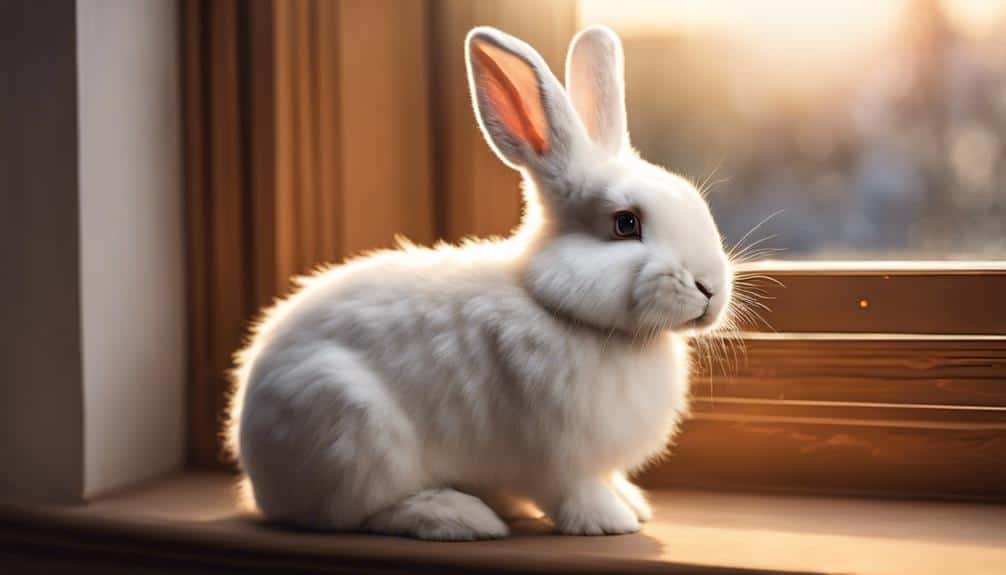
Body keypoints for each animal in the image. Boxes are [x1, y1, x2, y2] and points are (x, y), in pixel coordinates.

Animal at [226, 25, 732, 541]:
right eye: (625, 224)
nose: (710, 288)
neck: (564, 311)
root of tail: (259, 478)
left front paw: (633, 503)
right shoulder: (554, 458)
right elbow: (574, 491)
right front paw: (610, 522)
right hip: (352, 431)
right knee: (363, 513)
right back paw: (460, 517)